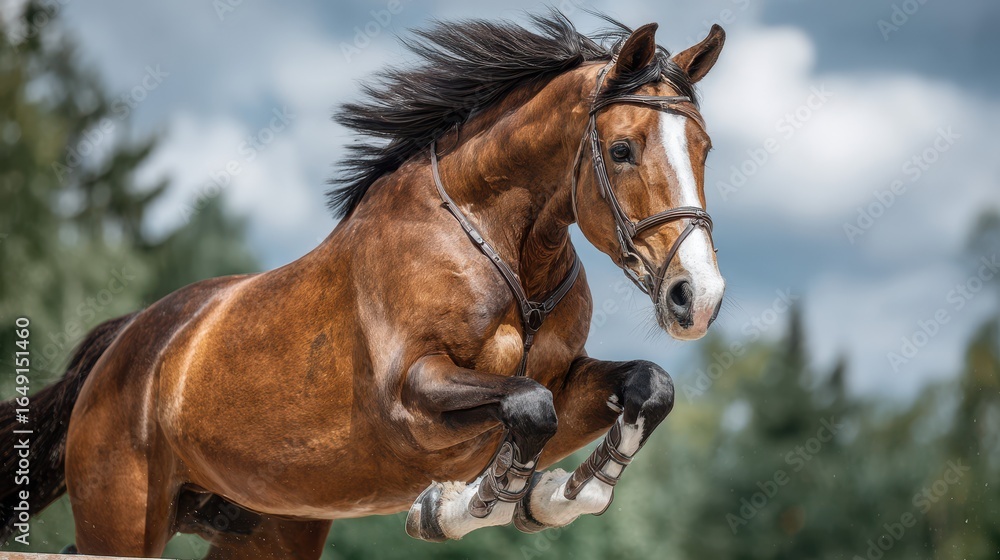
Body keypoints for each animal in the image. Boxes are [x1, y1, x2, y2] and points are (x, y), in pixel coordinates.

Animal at [0, 12, 726, 558]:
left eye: (705, 150)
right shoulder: (412, 397)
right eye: (623, 150)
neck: (503, 247)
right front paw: (459, 507)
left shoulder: (567, 379)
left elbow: (646, 386)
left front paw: (560, 496)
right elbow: (528, 407)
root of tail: (129, 342)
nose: (698, 297)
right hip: (124, 518)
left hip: (267, 527)